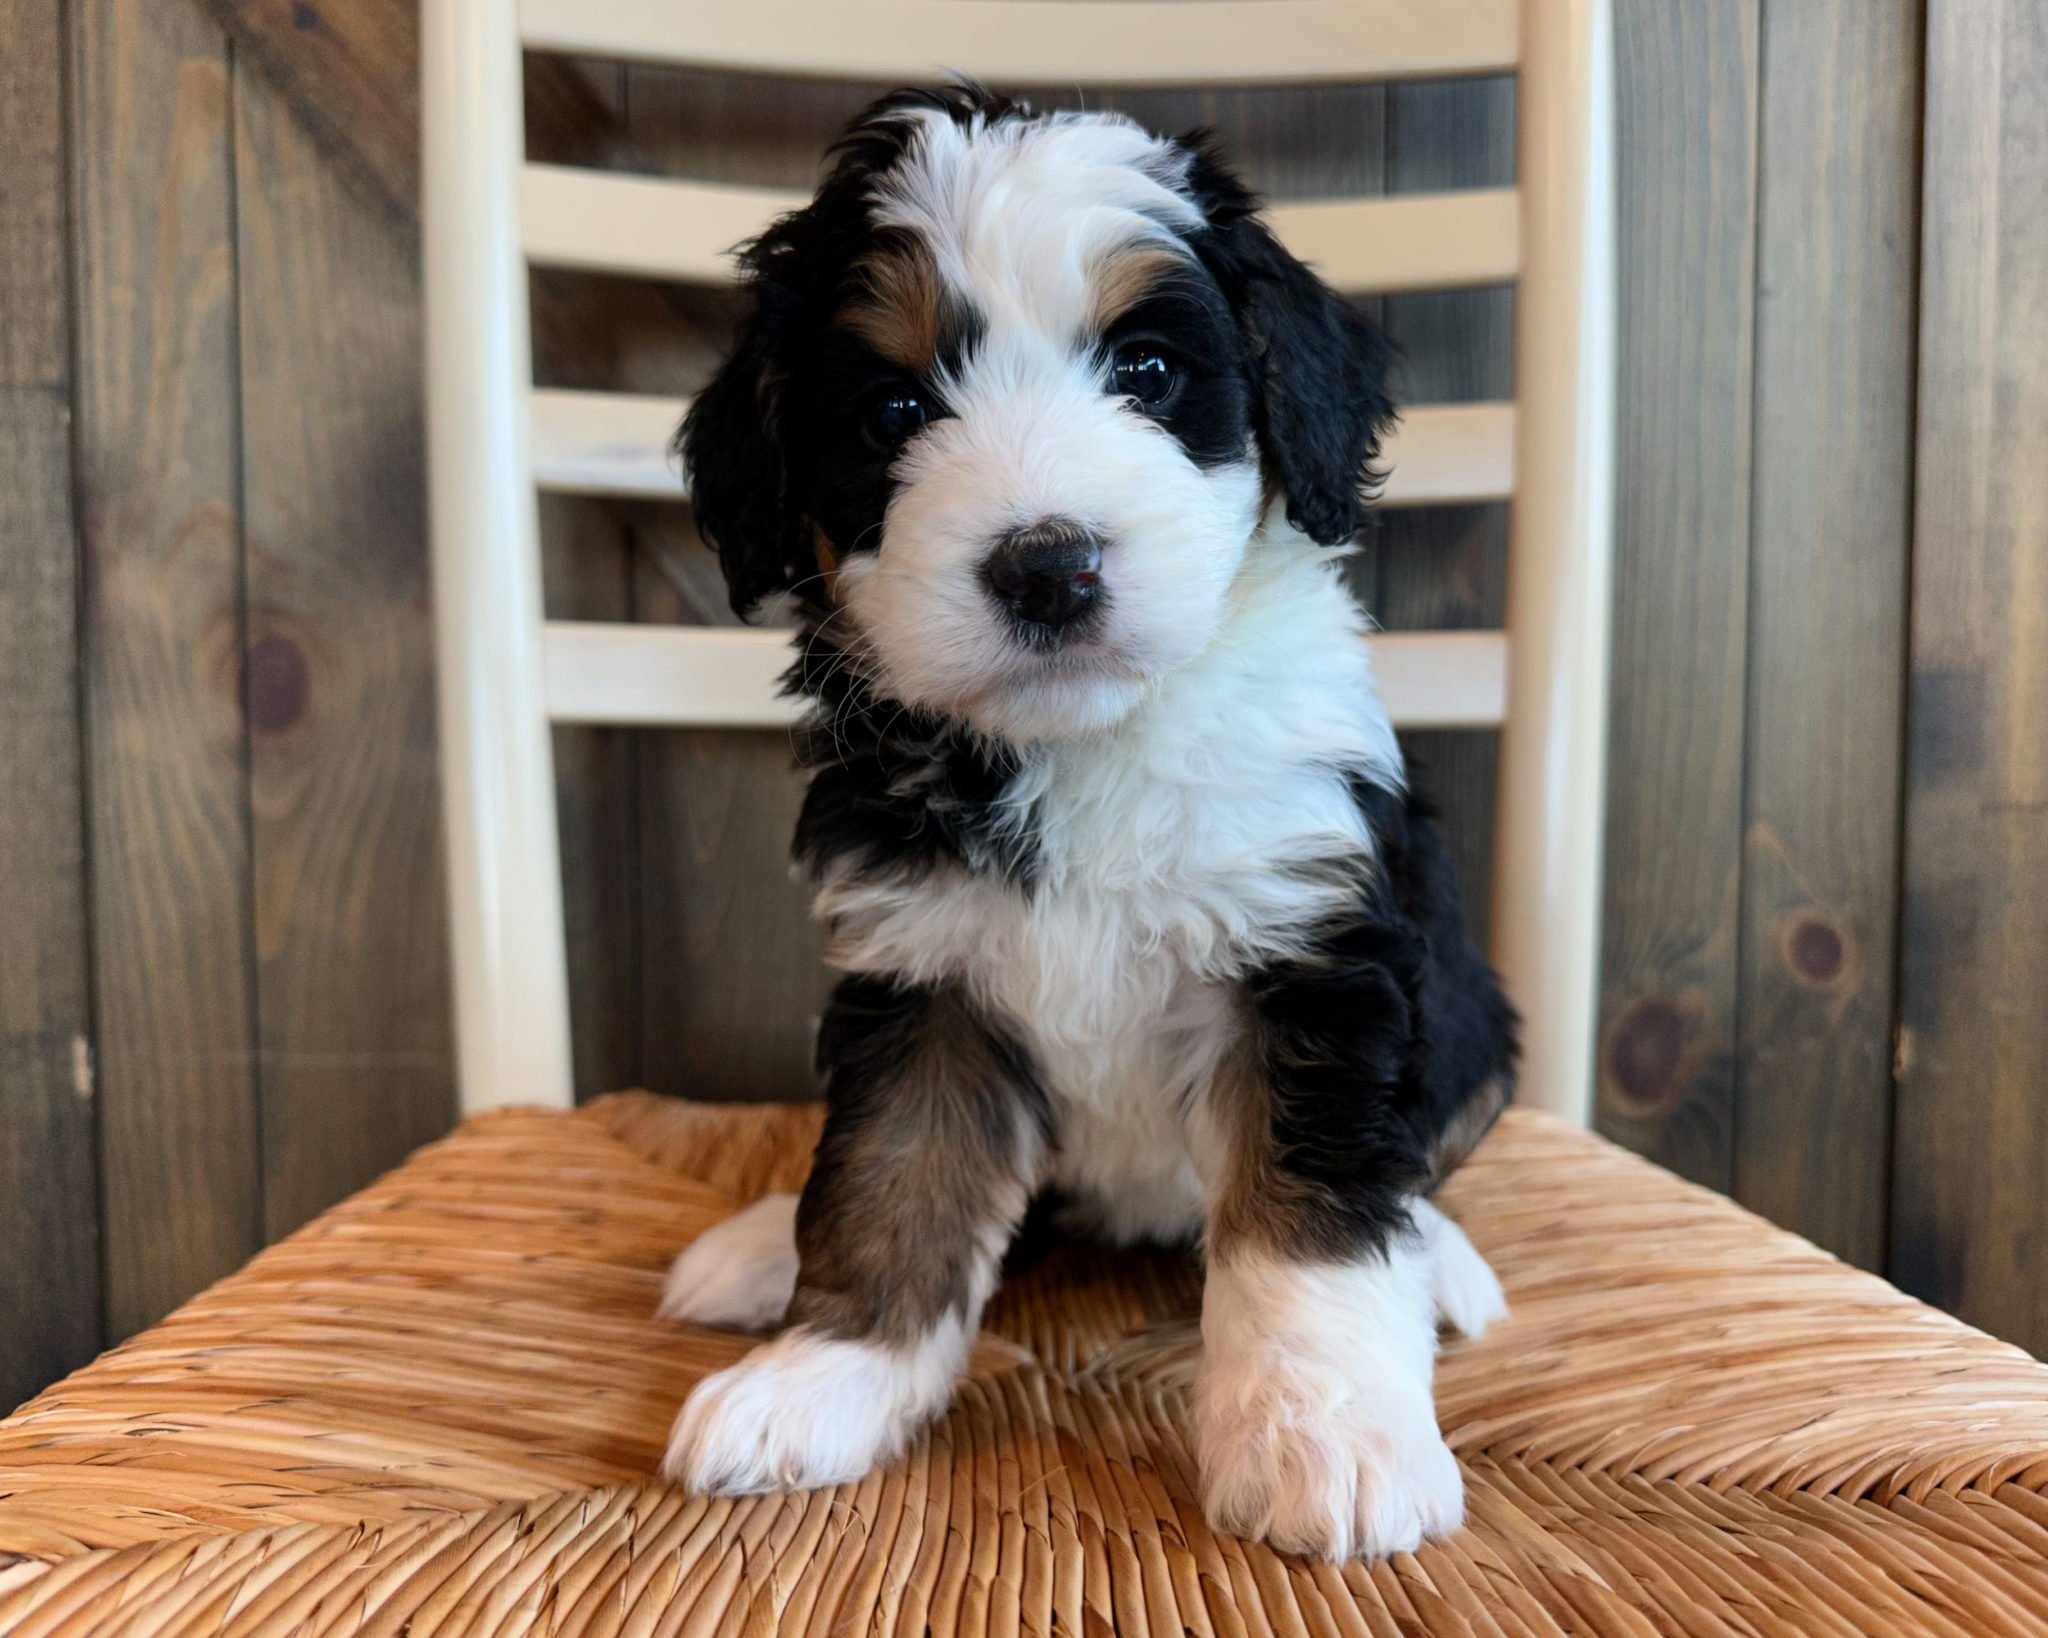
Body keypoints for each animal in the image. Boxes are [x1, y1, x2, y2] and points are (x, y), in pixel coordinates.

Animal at [659, 79, 1523, 1564]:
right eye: (892, 407)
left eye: (1150, 372)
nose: (1045, 567)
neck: (1089, 745)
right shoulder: (922, 979)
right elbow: (891, 1177)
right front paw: (825, 1376)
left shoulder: (1312, 955)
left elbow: (1311, 1223)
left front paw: (1327, 1437)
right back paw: (764, 1243)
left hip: (1471, 1020)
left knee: (1421, 1161)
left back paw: (1442, 1268)